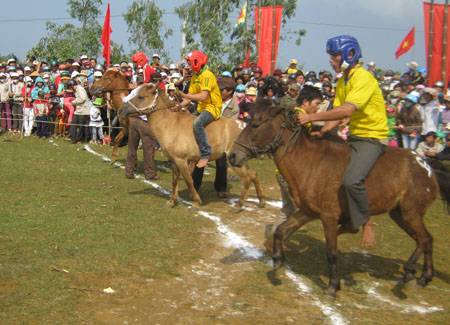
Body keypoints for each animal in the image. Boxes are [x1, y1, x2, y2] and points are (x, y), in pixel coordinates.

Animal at [230, 98, 450, 296]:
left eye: (255, 124)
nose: (233, 155)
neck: (310, 163)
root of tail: (427, 166)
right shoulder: (307, 212)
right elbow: (280, 231)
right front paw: (277, 260)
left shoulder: (329, 216)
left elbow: (332, 252)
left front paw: (332, 286)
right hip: (400, 214)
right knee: (425, 241)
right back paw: (422, 277)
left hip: (411, 213)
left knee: (424, 240)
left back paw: (410, 272)